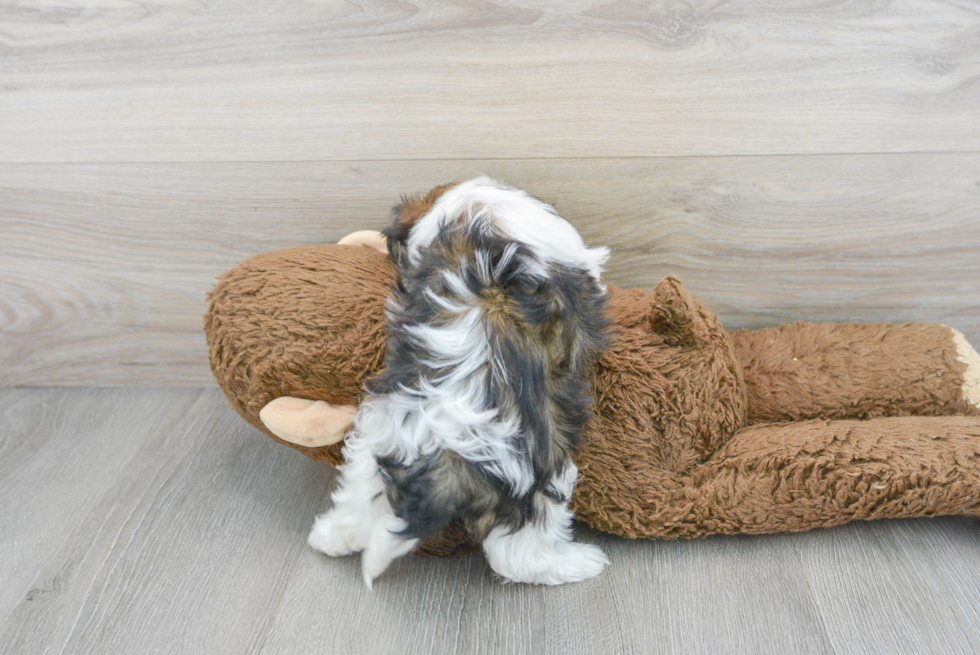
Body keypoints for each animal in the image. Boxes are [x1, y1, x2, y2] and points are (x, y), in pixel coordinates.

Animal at [310, 177, 608, 588]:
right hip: (541, 469)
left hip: (377, 434)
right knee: (516, 552)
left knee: (361, 498)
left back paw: (330, 537)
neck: (475, 212)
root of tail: (448, 440)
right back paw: (576, 563)